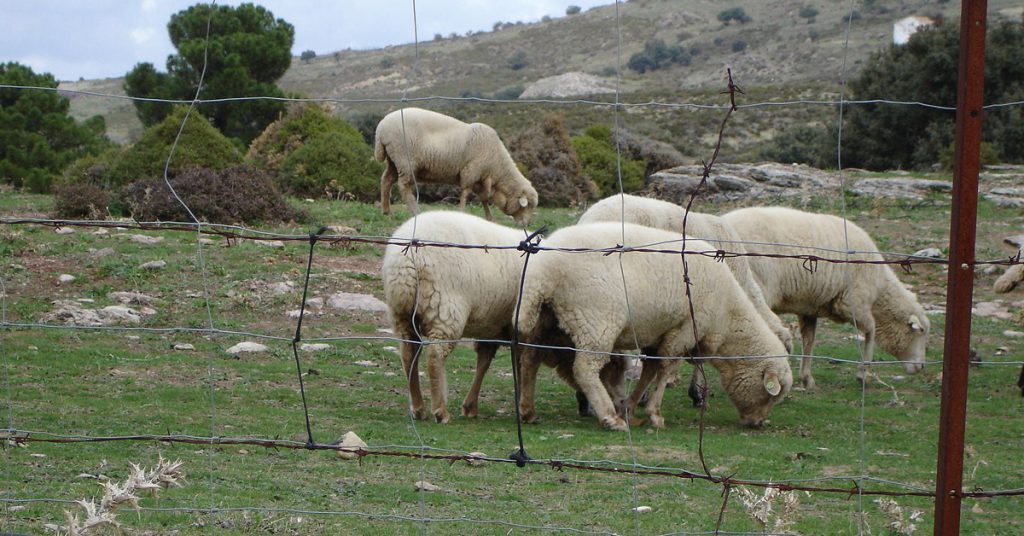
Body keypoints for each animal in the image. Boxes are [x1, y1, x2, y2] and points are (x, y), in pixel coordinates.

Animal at [374, 107, 538, 226]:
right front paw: (463, 213)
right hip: (405, 159)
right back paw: (415, 211)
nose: (527, 224)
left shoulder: (480, 178)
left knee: (386, 180)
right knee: (403, 186)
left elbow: (484, 199)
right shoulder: (471, 172)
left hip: (394, 160)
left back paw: (386, 211)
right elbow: (465, 193)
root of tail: (381, 128)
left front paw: (489, 217)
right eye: (528, 206)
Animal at [381, 210, 620, 423]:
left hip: (402, 313)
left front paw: (471, 406)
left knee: (409, 353)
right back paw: (440, 411)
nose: (585, 408)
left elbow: (486, 361)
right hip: (445, 308)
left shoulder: (496, 326)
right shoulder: (529, 330)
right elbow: (526, 363)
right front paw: (526, 408)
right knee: (435, 355)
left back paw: (418, 408)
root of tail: (405, 264)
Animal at [516, 222, 793, 430]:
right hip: (596, 320)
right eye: (771, 395)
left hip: (547, 321)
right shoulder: (685, 329)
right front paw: (654, 414)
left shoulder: (657, 333)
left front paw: (631, 407)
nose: (757, 423)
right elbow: (665, 368)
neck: (728, 316)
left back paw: (527, 410)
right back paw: (610, 418)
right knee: (585, 368)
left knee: (530, 359)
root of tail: (544, 271)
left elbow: (650, 369)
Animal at [722, 206, 931, 389]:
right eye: (919, 331)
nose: (921, 367)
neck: (880, 290)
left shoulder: (808, 307)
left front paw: (807, 378)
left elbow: (809, 339)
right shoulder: (851, 302)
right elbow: (871, 330)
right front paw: (863, 373)